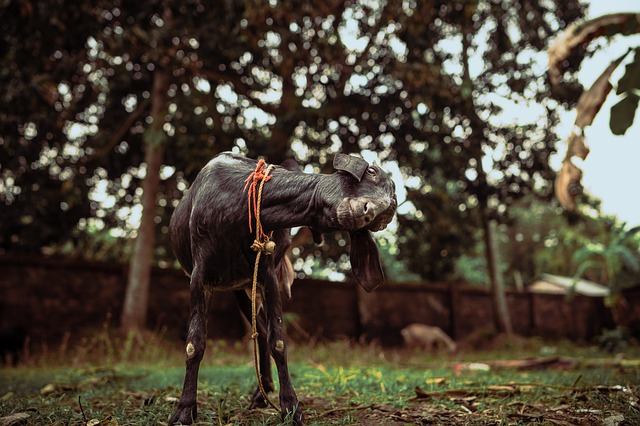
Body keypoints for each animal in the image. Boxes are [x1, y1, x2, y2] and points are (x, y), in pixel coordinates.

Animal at [166, 151, 396, 424]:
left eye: (382, 219)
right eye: (371, 172)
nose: (367, 211)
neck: (237, 206)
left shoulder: (267, 274)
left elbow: (277, 341)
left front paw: (290, 407)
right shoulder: (199, 275)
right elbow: (194, 343)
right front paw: (184, 410)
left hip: (247, 283)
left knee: (262, 331)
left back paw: (262, 392)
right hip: (238, 287)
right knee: (258, 330)